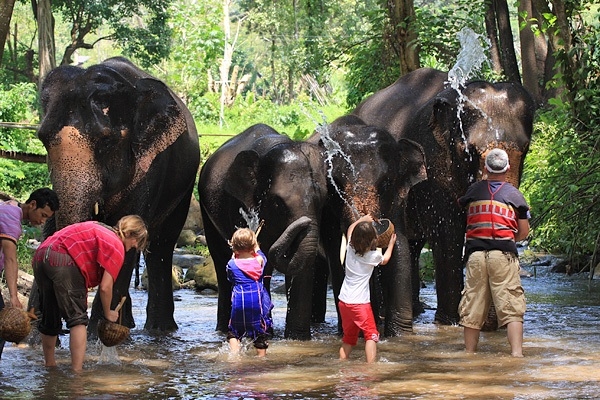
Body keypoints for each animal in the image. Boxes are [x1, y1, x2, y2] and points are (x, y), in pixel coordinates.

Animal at [36, 56, 200, 334]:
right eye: (43, 140)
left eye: (106, 142)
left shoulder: (150, 167)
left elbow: (125, 235)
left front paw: (95, 336)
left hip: (183, 188)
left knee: (162, 245)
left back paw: (160, 329)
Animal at [197, 123, 328, 340]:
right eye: (278, 203)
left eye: (322, 199)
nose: (304, 222)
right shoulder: (238, 204)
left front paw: (297, 339)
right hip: (206, 209)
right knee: (220, 258)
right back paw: (226, 329)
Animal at [310, 114, 426, 336]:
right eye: (335, 185)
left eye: (386, 183)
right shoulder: (327, 208)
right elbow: (335, 251)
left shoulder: (398, 198)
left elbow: (400, 246)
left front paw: (401, 336)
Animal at [352, 67, 536, 326]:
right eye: (470, 151)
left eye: (526, 148)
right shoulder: (432, 162)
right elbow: (448, 232)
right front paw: (451, 321)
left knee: (414, 244)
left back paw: (418, 310)